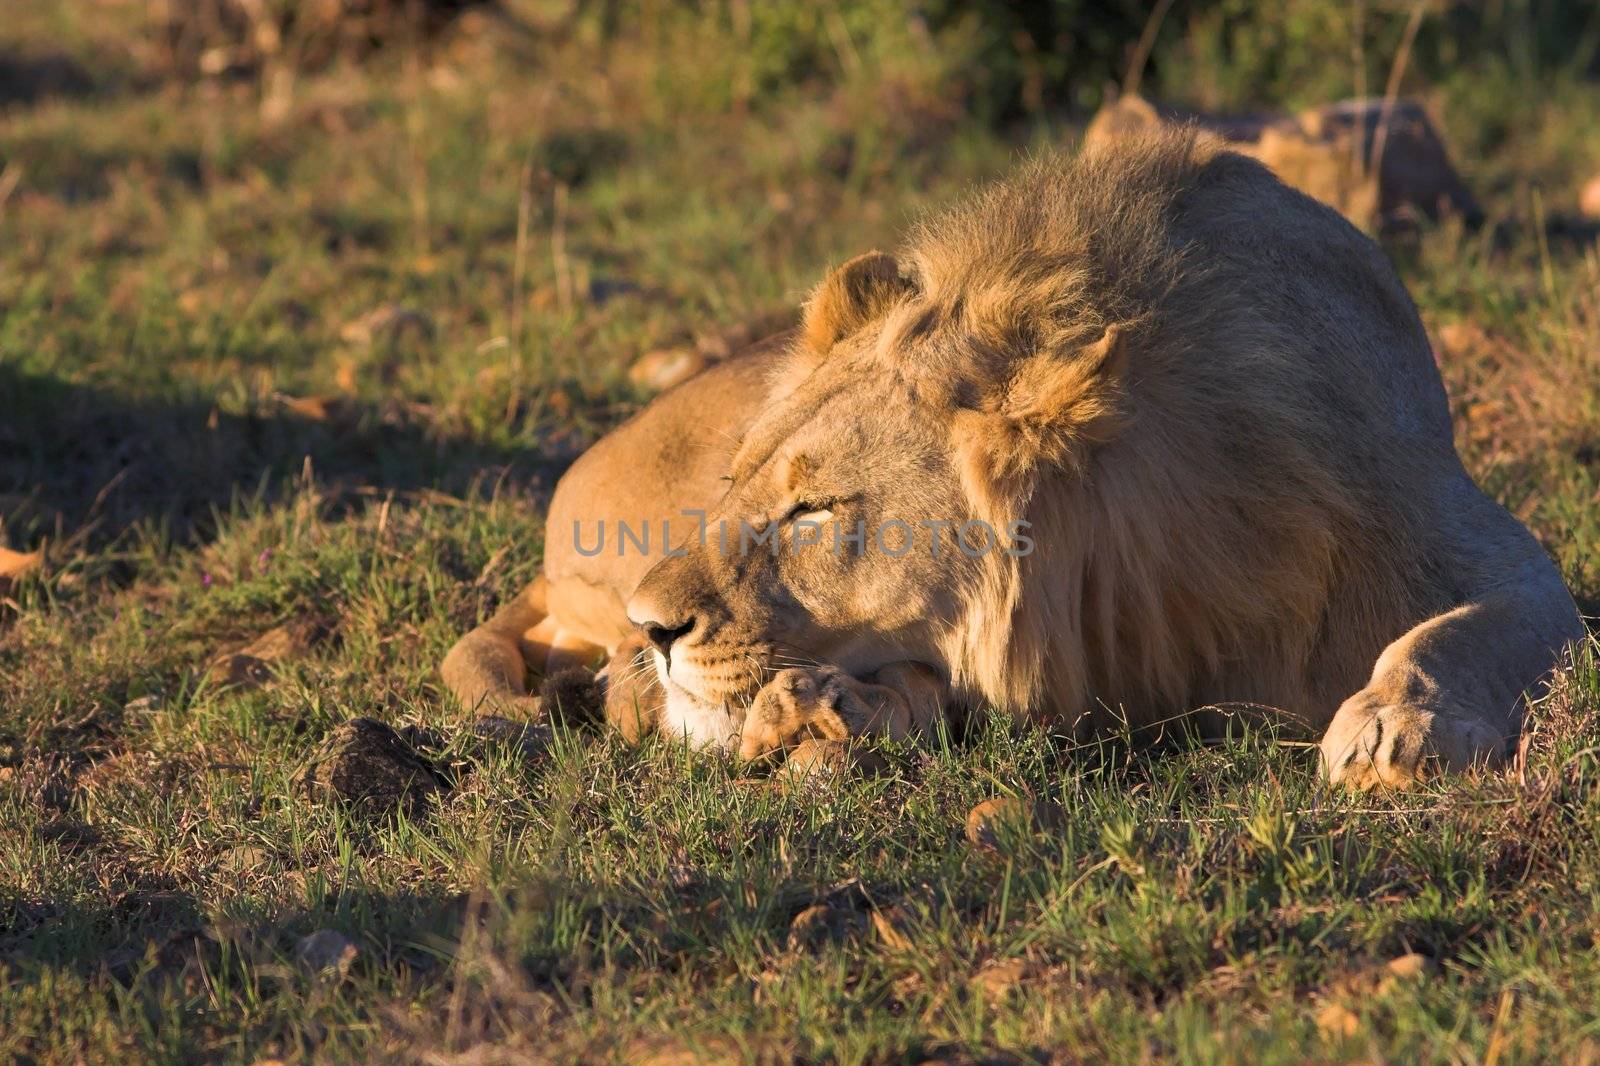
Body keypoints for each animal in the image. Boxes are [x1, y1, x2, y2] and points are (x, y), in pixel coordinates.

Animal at [444, 128, 1580, 784]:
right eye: (737, 491)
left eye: (813, 512)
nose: (657, 623)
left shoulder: (1481, 547)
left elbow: (1467, 630)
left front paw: (1390, 723)